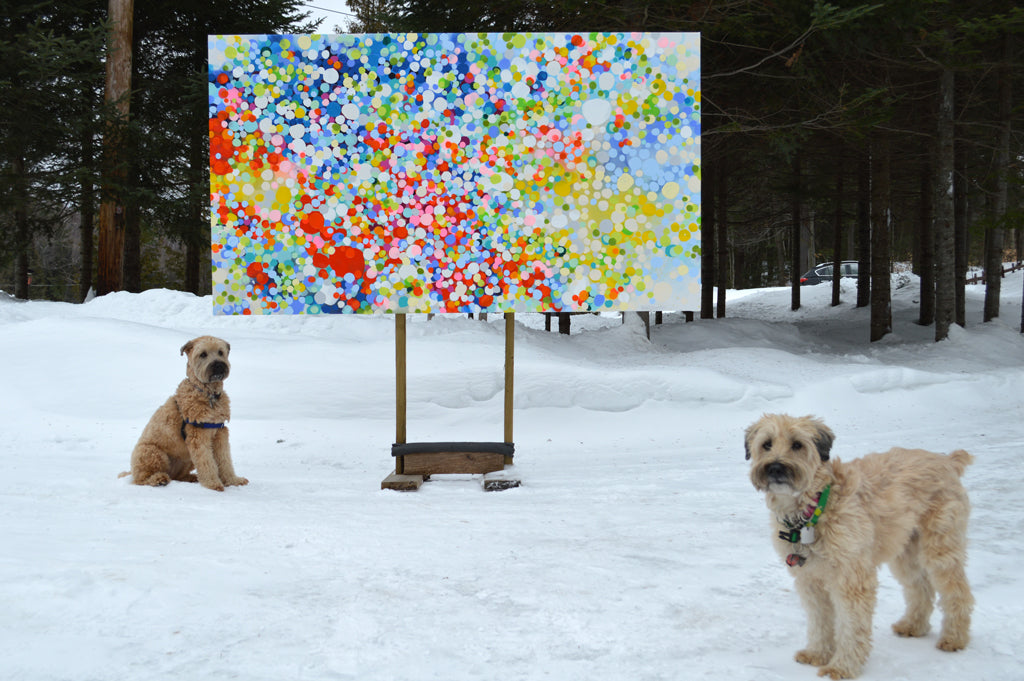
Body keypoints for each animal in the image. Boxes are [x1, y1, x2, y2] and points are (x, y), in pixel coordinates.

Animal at [119, 333, 245, 489]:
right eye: (203, 354)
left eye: (220, 352)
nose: (218, 365)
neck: (208, 394)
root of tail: (132, 471)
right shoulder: (198, 435)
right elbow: (207, 462)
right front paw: (213, 483)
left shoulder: (220, 433)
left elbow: (225, 460)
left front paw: (233, 480)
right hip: (153, 453)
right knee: (142, 479)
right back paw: (158, 479)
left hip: (186, 459)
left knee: (177, 476)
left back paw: (192, 478)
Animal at [749, 411, 970, 675]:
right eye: (767, 444)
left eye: (797, 445)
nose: (775, 467)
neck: (814, 509)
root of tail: (947, 461)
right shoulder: (810, 579)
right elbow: (820, 620)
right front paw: (817, 653)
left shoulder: (851, 578)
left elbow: (851, 625)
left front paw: (842, 666)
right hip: (905, 552)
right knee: (921, 588)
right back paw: (913, 626)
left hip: (940, 547)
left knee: (958, 591)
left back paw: (954, 638)